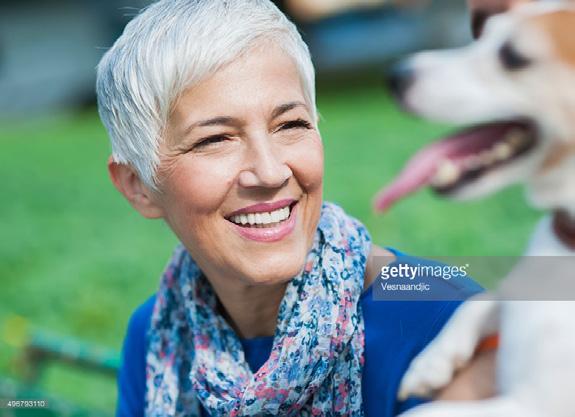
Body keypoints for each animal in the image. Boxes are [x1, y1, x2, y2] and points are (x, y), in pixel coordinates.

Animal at [374, 3, 575, 416]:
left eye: (514, 56)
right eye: (483, 34)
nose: (396, 76)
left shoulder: (533, 405)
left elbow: (423, 411)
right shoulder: (513, 292)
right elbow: (479, 299)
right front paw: (430, 364)